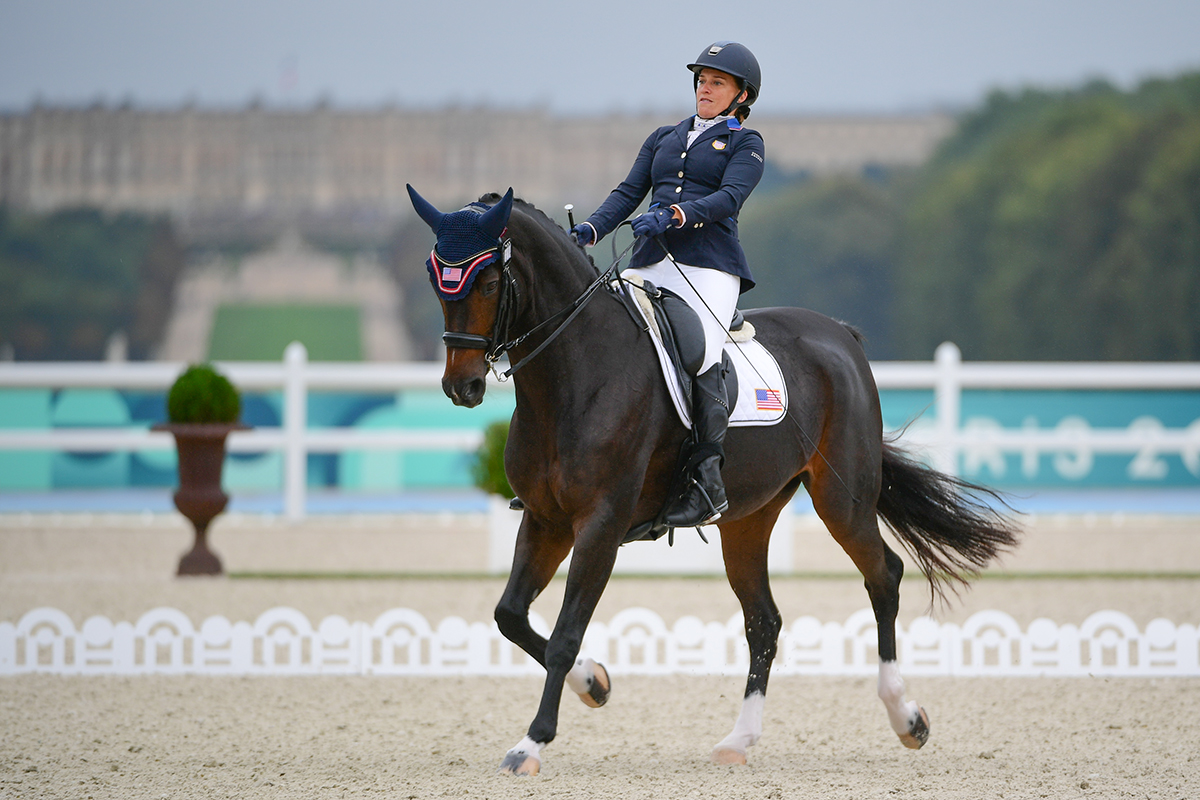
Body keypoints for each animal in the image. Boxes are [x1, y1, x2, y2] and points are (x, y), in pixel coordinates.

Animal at [408, 185, 1017, 777]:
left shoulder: (600, 524)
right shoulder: (546, 520)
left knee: (883, 576)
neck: (573, 375)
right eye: (437, 279)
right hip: (748, 518)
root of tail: (838, 334)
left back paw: (907, 718)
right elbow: (510, 615)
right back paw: (738, 740)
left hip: (842, 498)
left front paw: (531, 744)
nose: (461, 387)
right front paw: (595, 682)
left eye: (489, 281)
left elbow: (563, 635)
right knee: (764, 620)